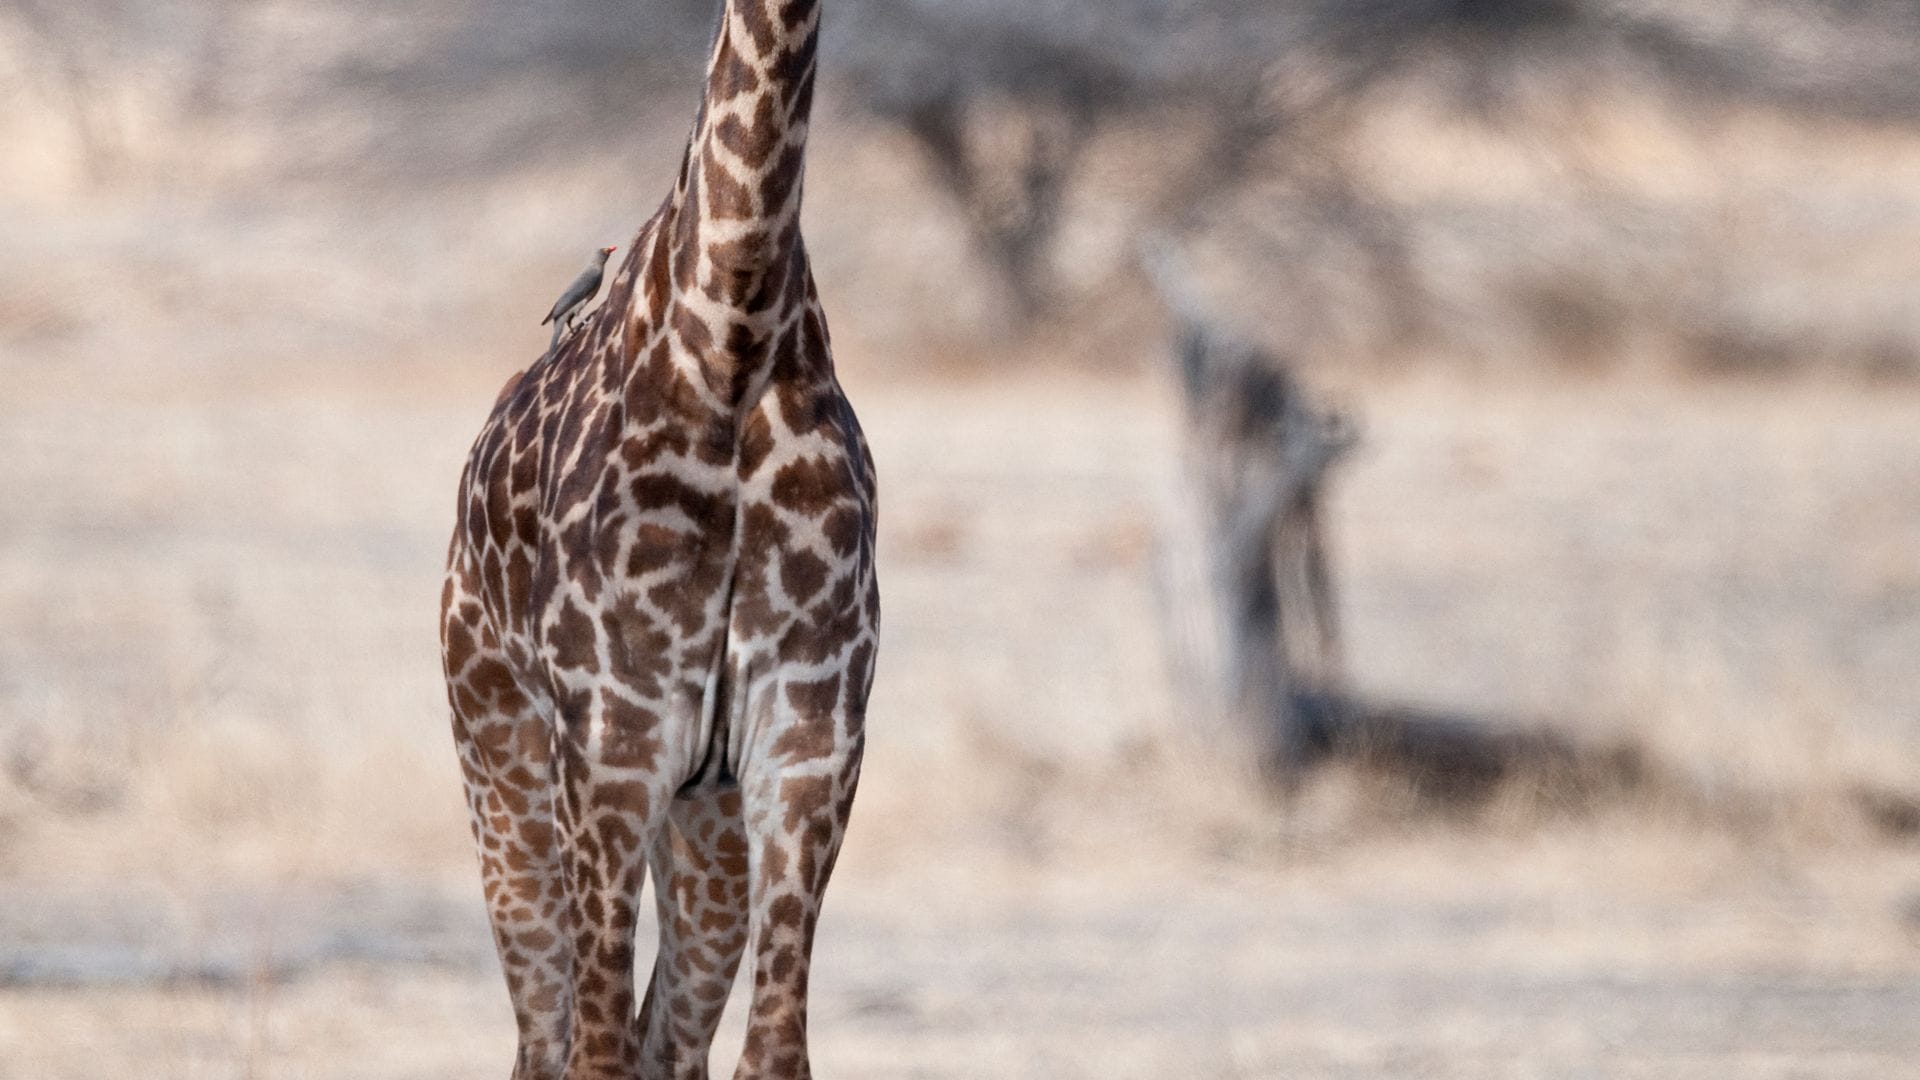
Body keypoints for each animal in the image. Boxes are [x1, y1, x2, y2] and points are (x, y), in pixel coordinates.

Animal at [438, 1, 877, 1077]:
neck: (732, 336)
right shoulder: (612, 749)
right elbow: (591, 1052)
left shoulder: (811, 743)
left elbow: (774, 1053)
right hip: (500, 763)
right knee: (548, 1038)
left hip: (705, 818)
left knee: (664, 1041)